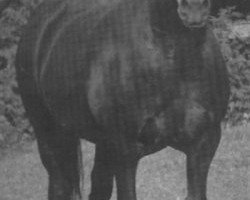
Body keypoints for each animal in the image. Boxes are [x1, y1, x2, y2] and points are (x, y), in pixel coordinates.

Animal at [15, 0, 229, 200]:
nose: (194, 8)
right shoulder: (125, 150)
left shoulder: (203, 144)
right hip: (49, 134)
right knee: (59, 184)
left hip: (102, 143)